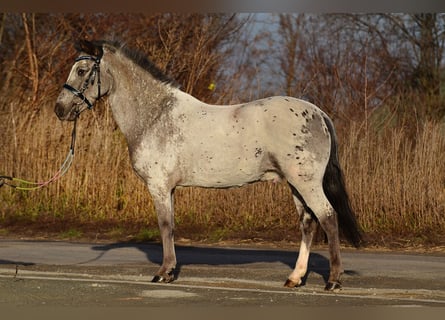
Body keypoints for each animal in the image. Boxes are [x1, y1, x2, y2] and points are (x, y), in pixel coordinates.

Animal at [54, 39, 360, 290]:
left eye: (82, 71)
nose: (60, 109)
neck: (156, 115)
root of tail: (319, 113)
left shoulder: (159, 186)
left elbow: (165, 226)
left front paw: (163, 273)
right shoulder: (169, 189)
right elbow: (171, 226)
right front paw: (170, 271)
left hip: (306, 183)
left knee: (328, 218)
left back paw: (333, 280)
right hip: (296, 185)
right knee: (308, 223)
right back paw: (295, 278)